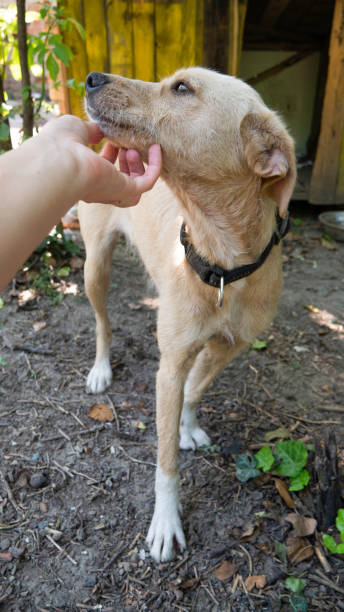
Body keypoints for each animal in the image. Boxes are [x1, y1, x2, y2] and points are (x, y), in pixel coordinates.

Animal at [78, 65, 296, 560]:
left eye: (181, 88)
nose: (92, 77)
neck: (222, 264)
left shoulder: (227, 348)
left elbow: (196, 390)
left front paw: (187, 426)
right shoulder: (170, 366)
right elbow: (165, 463)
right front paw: (165, 520)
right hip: (94, 267)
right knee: (102, 323)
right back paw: (101, 368)